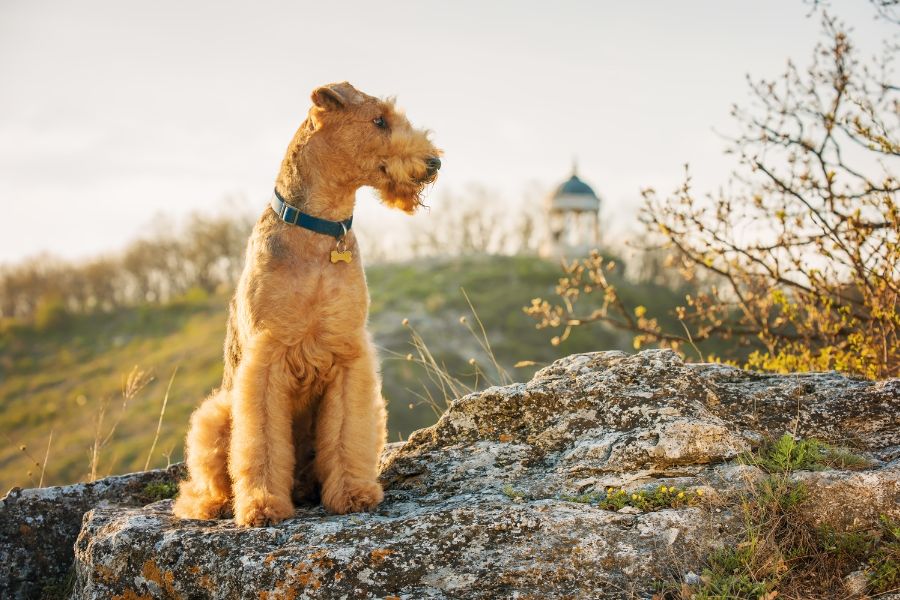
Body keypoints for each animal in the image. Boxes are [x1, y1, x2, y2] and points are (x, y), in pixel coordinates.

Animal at [172, 81, 440, 524]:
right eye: (378, 120)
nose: (434, 162)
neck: (321, 232)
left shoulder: (348, 354)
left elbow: (347, 434)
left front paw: (352, 493)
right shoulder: (267, 358)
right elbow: (261, 442)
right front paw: (262, 506)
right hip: (215, 414)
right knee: (206, 480)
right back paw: (214, 504)